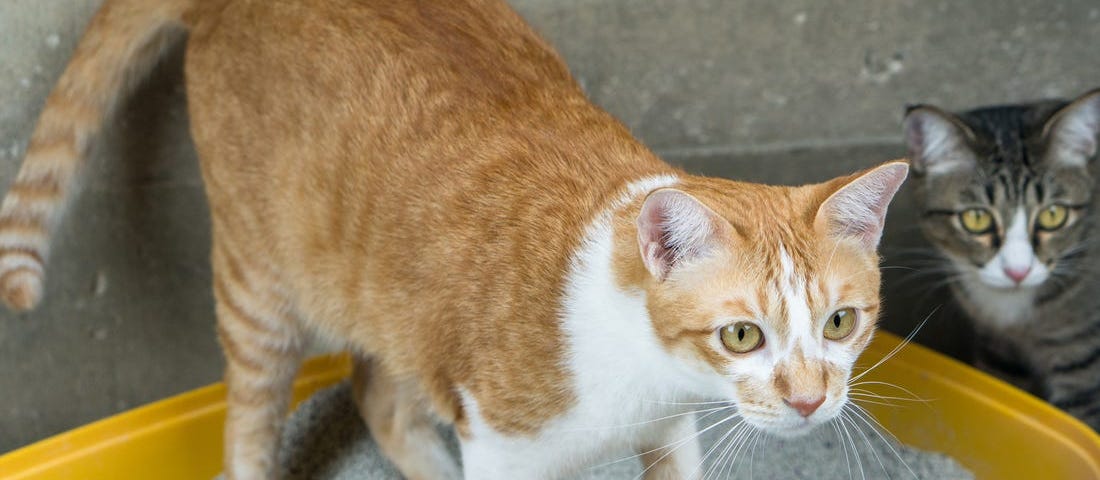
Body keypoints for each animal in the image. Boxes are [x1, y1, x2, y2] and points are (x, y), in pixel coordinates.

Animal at [0, 0, 906, 477]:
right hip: (262, 290)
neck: (640, 368)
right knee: (251, 424)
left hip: (398, 300)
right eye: (742, 335)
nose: (810, 400)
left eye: (840, 323)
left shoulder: (671, 434)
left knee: (378, 390)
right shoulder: (501, 448)